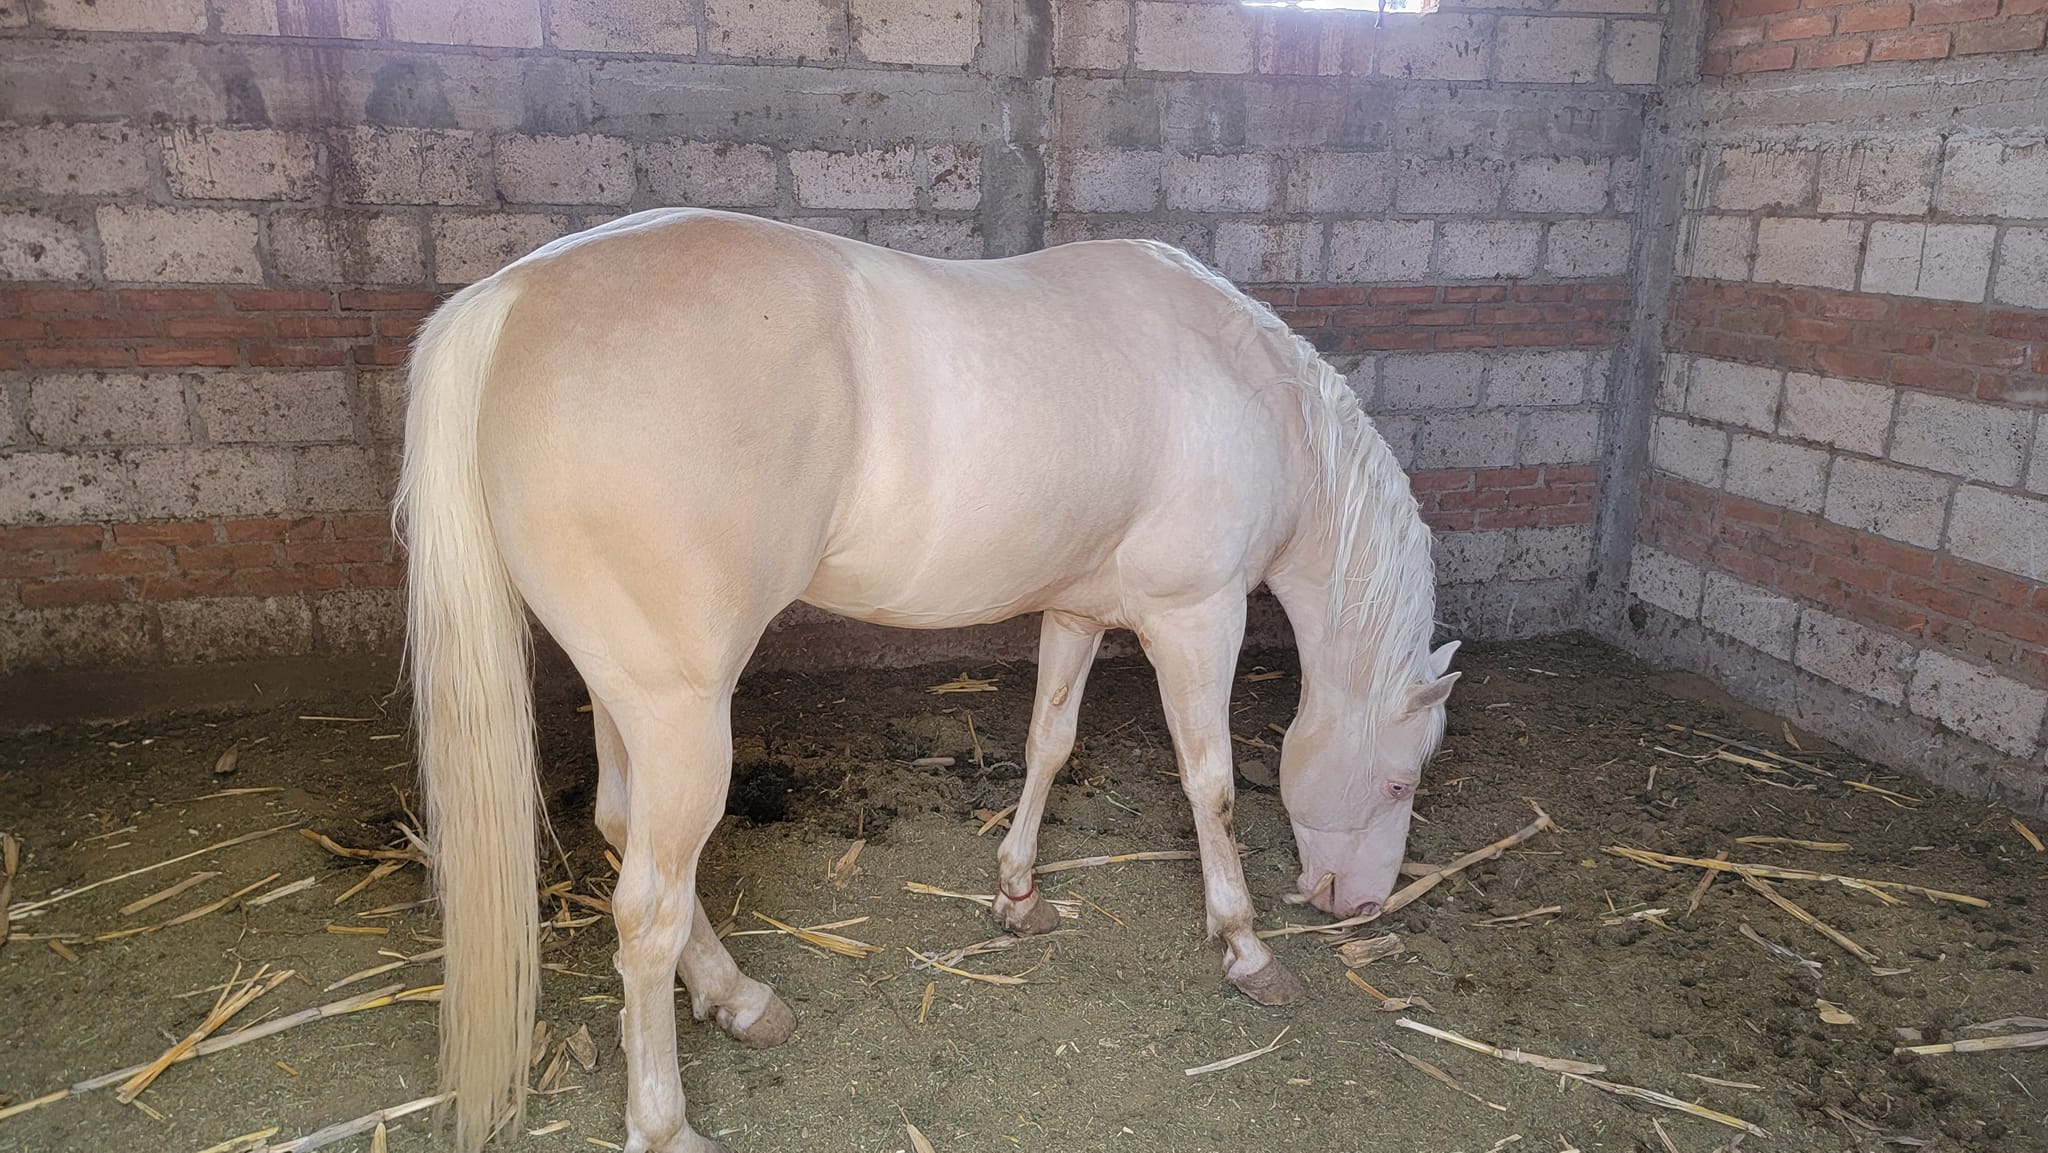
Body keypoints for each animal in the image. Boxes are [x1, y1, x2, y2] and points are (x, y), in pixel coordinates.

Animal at [398, 208, 1459, 1153]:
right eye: (1399, 780)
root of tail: (511, 298)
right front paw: (1246, 946)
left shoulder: (1078, 612)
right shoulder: (1197, 616)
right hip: (681, 714)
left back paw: (739, 999)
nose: (1358, 905)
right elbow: (1214, 784)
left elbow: (1049, 745)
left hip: (630, 698)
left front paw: (1020, 893)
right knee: (647, 908)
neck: (1251, 387)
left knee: (626, 831)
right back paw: (665, 1123)